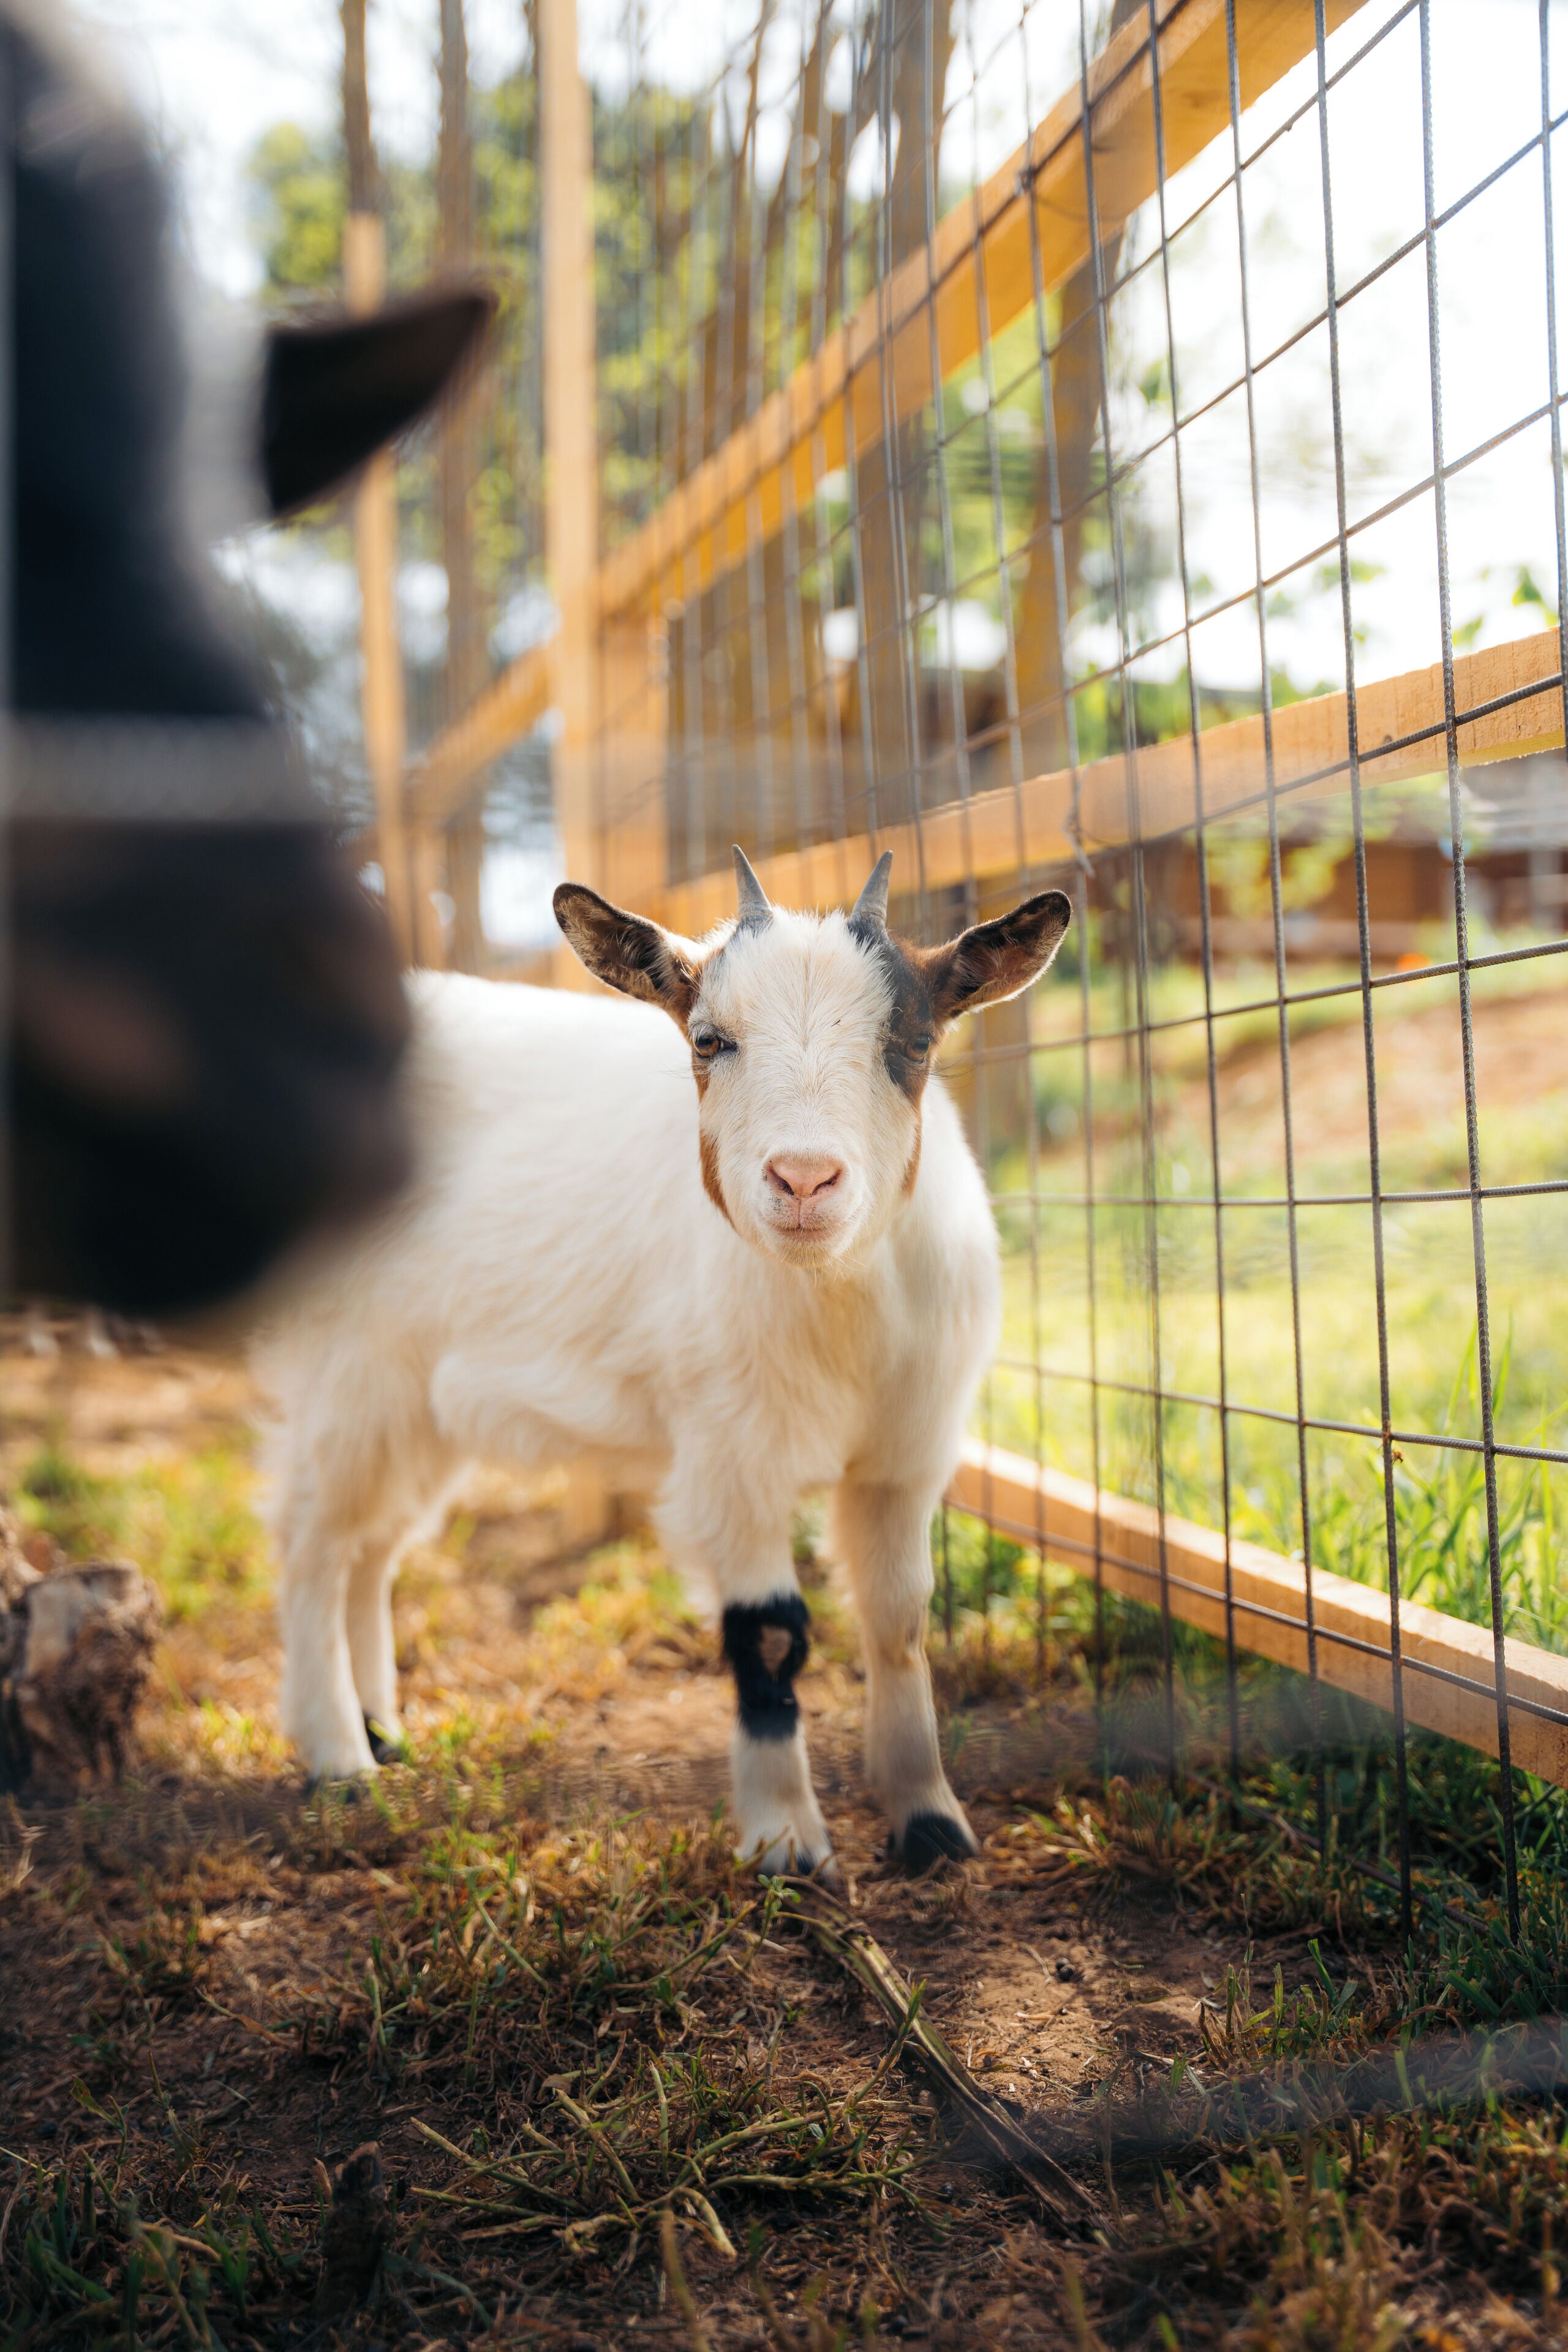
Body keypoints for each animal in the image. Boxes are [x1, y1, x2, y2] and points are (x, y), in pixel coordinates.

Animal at [253, 852, 1071, 1877]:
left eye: (915, 1038)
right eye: (711, 1040)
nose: (805, 1181)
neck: (837, 1304)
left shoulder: (906, 1453)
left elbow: (900, 1622)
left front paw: (929, 1822)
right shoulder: (729, 1450)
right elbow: (769, 1635)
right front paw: (785, 1844)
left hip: (418, 1405)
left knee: (372, 1547)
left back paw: (383, 1730)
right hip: (348, 1369)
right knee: (311, 1545)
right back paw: (337, 1760)